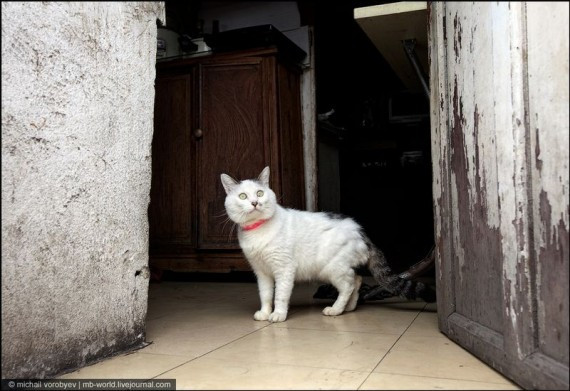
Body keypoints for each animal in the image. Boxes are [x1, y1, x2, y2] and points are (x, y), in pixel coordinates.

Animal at [220, 167, 432, 324]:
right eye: (242, 197)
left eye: (260, 193)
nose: (255, 202)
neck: (258, 231)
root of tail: (361, 231)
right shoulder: (261, 272)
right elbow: (265, 294)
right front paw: (264, 313)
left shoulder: (284, 269)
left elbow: (280, 294)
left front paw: (278, 314)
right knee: (357, 281)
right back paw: (349, 307)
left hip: (333, 269)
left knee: (348, 285)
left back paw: (336, 309)